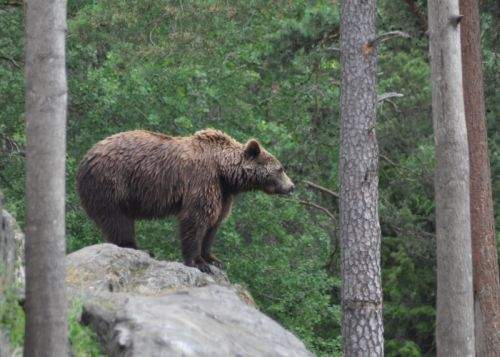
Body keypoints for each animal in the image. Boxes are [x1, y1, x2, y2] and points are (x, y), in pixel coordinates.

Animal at [76, 129, 294, 272]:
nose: (292, 186)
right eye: (280, 168)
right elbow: (196, 218)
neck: (224, 172)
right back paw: (137, 247)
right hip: (113, 182)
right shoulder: (202, 179)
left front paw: (213, 259)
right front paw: (198, 262)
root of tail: (86, 157)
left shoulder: (223, 193)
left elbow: (214, 223)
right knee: (117, 219)